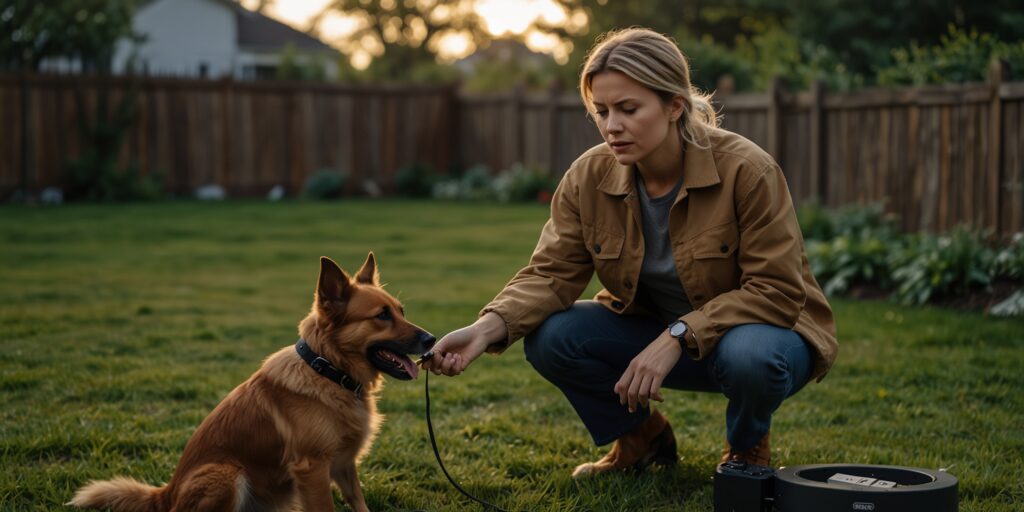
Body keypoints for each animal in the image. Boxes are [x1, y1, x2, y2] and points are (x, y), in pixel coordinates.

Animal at [68, 253, 436, 509]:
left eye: (401, 311)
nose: (432, 340)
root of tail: (166, 494)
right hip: (225, 474)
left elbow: (360, 505)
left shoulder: (344, 466)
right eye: (382, 316)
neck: (328, 371)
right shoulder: (312, 469)